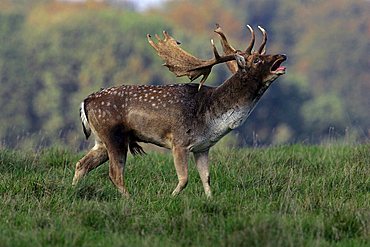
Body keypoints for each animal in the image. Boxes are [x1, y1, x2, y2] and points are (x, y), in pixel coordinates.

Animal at [71, 25, 286, 198]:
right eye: (257, 60)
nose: (281, 56)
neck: (211, 118)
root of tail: (85, 101)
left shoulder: (202, 147)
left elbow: (206, 178)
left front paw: (210, 200)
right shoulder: (180, 142)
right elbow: (184, 179)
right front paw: (170, 197)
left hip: (102, 140)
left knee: (82, 164)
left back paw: (73, 190)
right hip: (113, 135)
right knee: (114, 173)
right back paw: (129, 199)